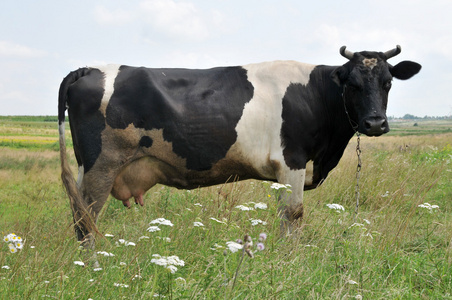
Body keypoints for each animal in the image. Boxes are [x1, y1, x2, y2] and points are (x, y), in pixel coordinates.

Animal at [58, 45, 422, 248]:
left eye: (388, 82)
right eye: (353, 84)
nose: (375, 124)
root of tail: (88, 68)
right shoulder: (292, 161)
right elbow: (293, 215)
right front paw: (289, 259)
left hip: (86, 169)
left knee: (78, 217)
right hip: (101, 166)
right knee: (86, 220)